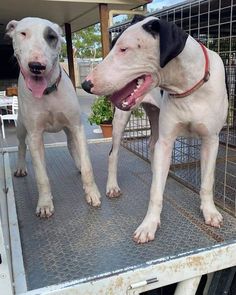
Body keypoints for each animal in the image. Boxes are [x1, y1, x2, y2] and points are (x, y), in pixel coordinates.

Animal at [6, 17, 100, 217]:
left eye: (52, 37)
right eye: (22, 33)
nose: (36, 66)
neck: (48, 92)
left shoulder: (77, 127)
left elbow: (88, 165)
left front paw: (92, 193)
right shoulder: (34, 136)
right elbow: (42, 176)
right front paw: (44, 204)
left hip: (69, 130)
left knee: (72, 146)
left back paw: (78, 165)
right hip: (21, 127)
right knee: (20, 146)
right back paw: (20, 167)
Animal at [82, 16, 229, 244]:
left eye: (124, 49)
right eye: (113, 45)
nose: (85, 84)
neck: (187, 87)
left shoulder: (211, 140)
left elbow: (207, 182)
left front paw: (210, 212)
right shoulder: (167, 141)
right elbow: (155, 193)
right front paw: (149, 224)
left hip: (156, 119)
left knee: (152, 146)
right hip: (121, 120)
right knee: (113, 154)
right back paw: (112, 186)